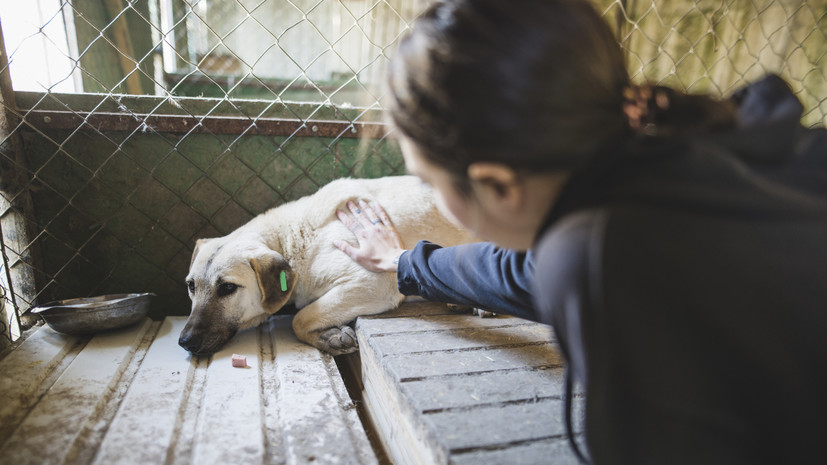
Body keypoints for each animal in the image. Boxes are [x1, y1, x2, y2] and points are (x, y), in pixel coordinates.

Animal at [178, 175, 476, 356]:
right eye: (191, 286)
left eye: (227, 288)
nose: (184, 341)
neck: (293, 237)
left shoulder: (371, 283)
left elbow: (299, 318)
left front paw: (327, 337)